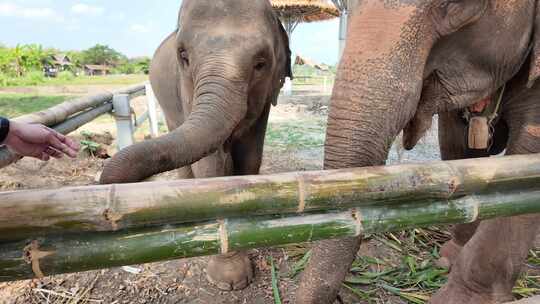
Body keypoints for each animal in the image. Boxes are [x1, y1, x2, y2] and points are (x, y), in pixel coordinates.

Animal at [97, 0, 292, 292]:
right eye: (184, 56)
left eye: (261, 64)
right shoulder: (185, 89)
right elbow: (211, 166)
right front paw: (227, 279)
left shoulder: (265, 101)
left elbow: (250, 158)